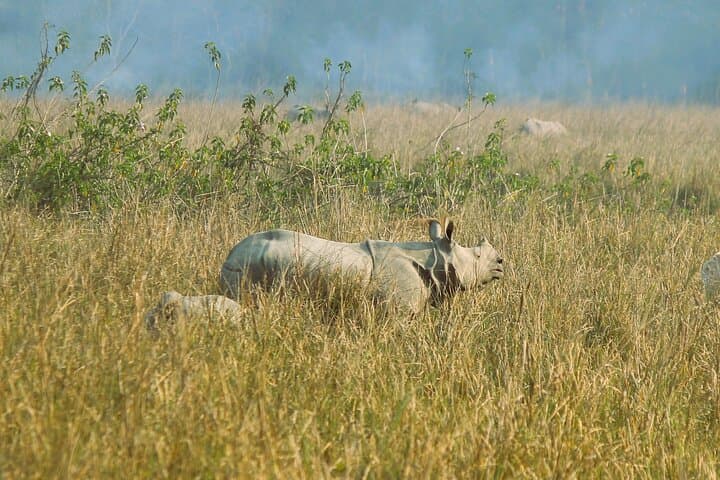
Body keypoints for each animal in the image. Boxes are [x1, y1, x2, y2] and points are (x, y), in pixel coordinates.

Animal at [220, 219, 504, 314]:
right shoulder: (399, 310)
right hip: (246, 267)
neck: (434, 255)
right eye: (478, 256)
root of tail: (229, 255)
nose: (501, 263)